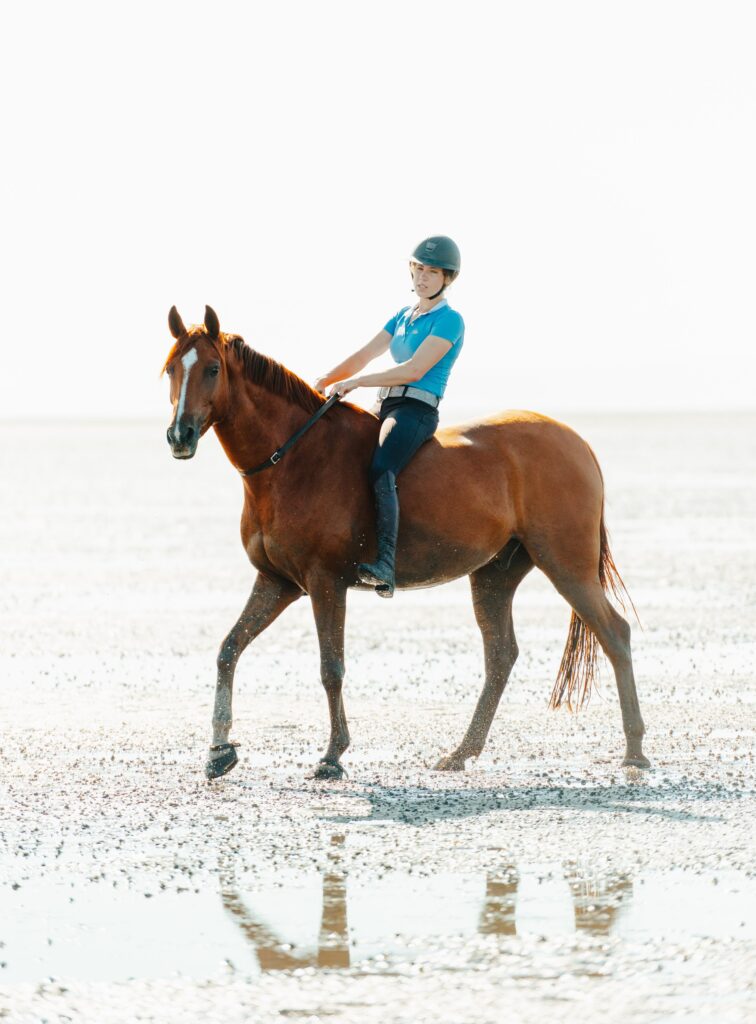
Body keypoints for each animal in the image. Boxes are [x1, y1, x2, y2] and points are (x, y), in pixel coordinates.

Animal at [161, 303, 643, 774]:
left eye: (212, 369)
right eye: (170, 370)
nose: (179, 436)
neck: (293, 459)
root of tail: (577, 442)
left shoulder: (325, 583)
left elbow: (330, 667)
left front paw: (333, 755)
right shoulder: (277, 582)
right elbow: (228, 649)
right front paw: (219, 751)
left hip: (566, 565)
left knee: (614, 633)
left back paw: (635, 749)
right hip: (495, 574)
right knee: (501, 655)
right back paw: (461, 752)